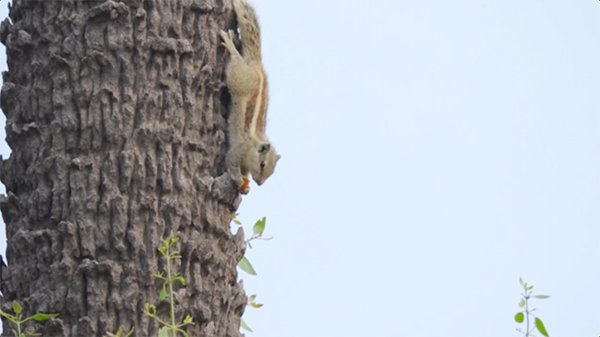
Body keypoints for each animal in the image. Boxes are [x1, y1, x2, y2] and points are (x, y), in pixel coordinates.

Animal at [219, 0, 280, 194]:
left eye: (271, 173)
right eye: (262, 164)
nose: (259, 183)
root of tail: (256, 64)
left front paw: (246, 185)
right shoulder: (239, 150)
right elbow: (231, 163)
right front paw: (239, 181)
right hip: (238, 77)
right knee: (236, 62)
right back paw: (231, 46)